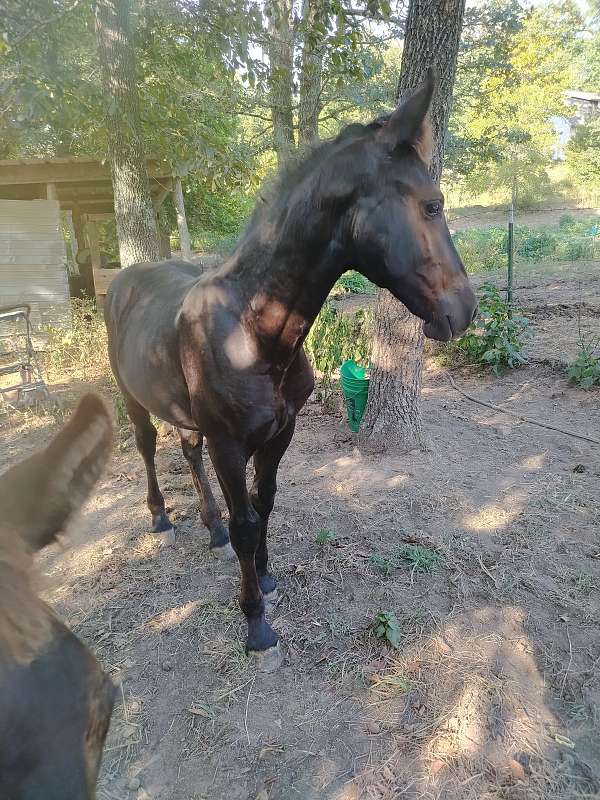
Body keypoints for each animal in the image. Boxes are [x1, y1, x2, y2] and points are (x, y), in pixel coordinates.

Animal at [104, 69, 478, 672]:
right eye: (431, 205)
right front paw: (255, 623)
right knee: (147, 447)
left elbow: (265, 505)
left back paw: (207, 525)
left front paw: (266, 577)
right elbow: (246, 525)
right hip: (134, 399)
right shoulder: (230, 445)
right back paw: (161, 517)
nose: (465, 309)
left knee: (186, 448)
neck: (251, 331)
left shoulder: (281, 433)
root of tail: (120, 281)